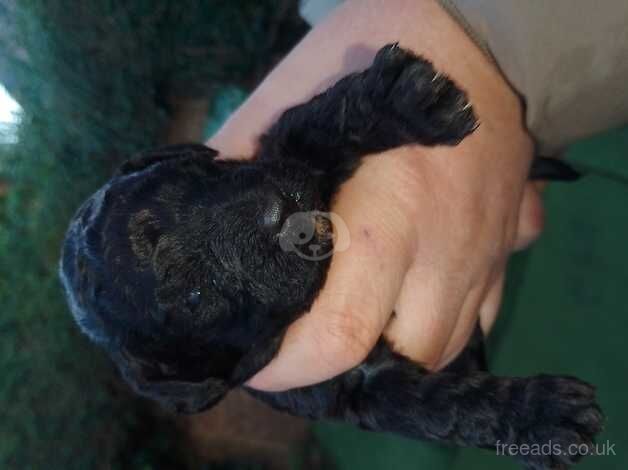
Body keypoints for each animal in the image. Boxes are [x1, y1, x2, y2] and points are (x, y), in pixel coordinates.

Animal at [62, 45, 600, 470]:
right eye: (197, 296)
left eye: (197, 179)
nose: (277, 215)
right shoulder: (347, 386)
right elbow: (444, 403)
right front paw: (541, 415)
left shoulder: (284, 156)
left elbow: (318, 123)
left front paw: (405, 98)